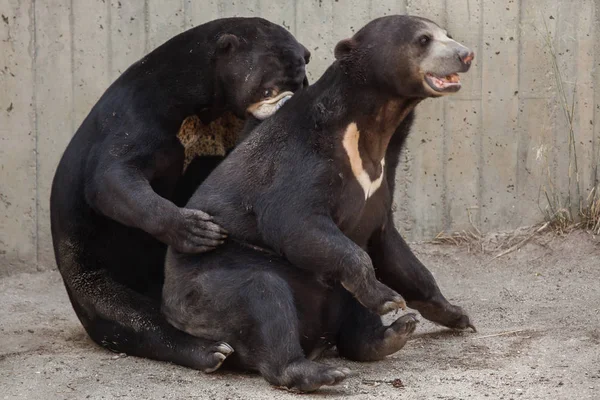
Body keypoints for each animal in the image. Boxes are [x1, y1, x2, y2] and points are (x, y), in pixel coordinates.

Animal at [50, 18, 310, 368]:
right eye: (268, 88)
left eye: (301, 82)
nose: (290, 105)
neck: (207, 101)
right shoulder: (138, 115)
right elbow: (111, 176)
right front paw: (198, 231)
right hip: (88, 271)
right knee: (126, 315)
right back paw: (210, 350)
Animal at [162, 14, 476, 390]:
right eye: (424, 39)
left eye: (448, 34)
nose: (466, 55)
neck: (372, 126)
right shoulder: (303, 158)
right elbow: (295, 221)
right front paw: (387, 297)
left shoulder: (384, 178)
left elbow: (392, 247)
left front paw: (456, 314)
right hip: (208, 287)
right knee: (263, 297)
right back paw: (320, 371)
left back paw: (392, 334)